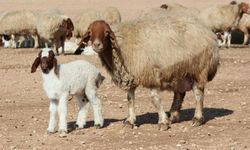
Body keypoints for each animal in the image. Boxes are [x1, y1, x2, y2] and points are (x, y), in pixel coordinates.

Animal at [78, 18, 219, 131]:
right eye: (90, 33)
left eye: (106, 32)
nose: (96, 45)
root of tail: (208, 32)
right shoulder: (131, 76)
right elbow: (130, 100)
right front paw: (130, 121)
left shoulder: (151, 75)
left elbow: (155, 99)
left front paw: (163, 122)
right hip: (179, 72)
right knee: (179, 94)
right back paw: (173, 116)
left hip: (199, 69)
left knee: (198, 94)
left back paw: (197, 118)